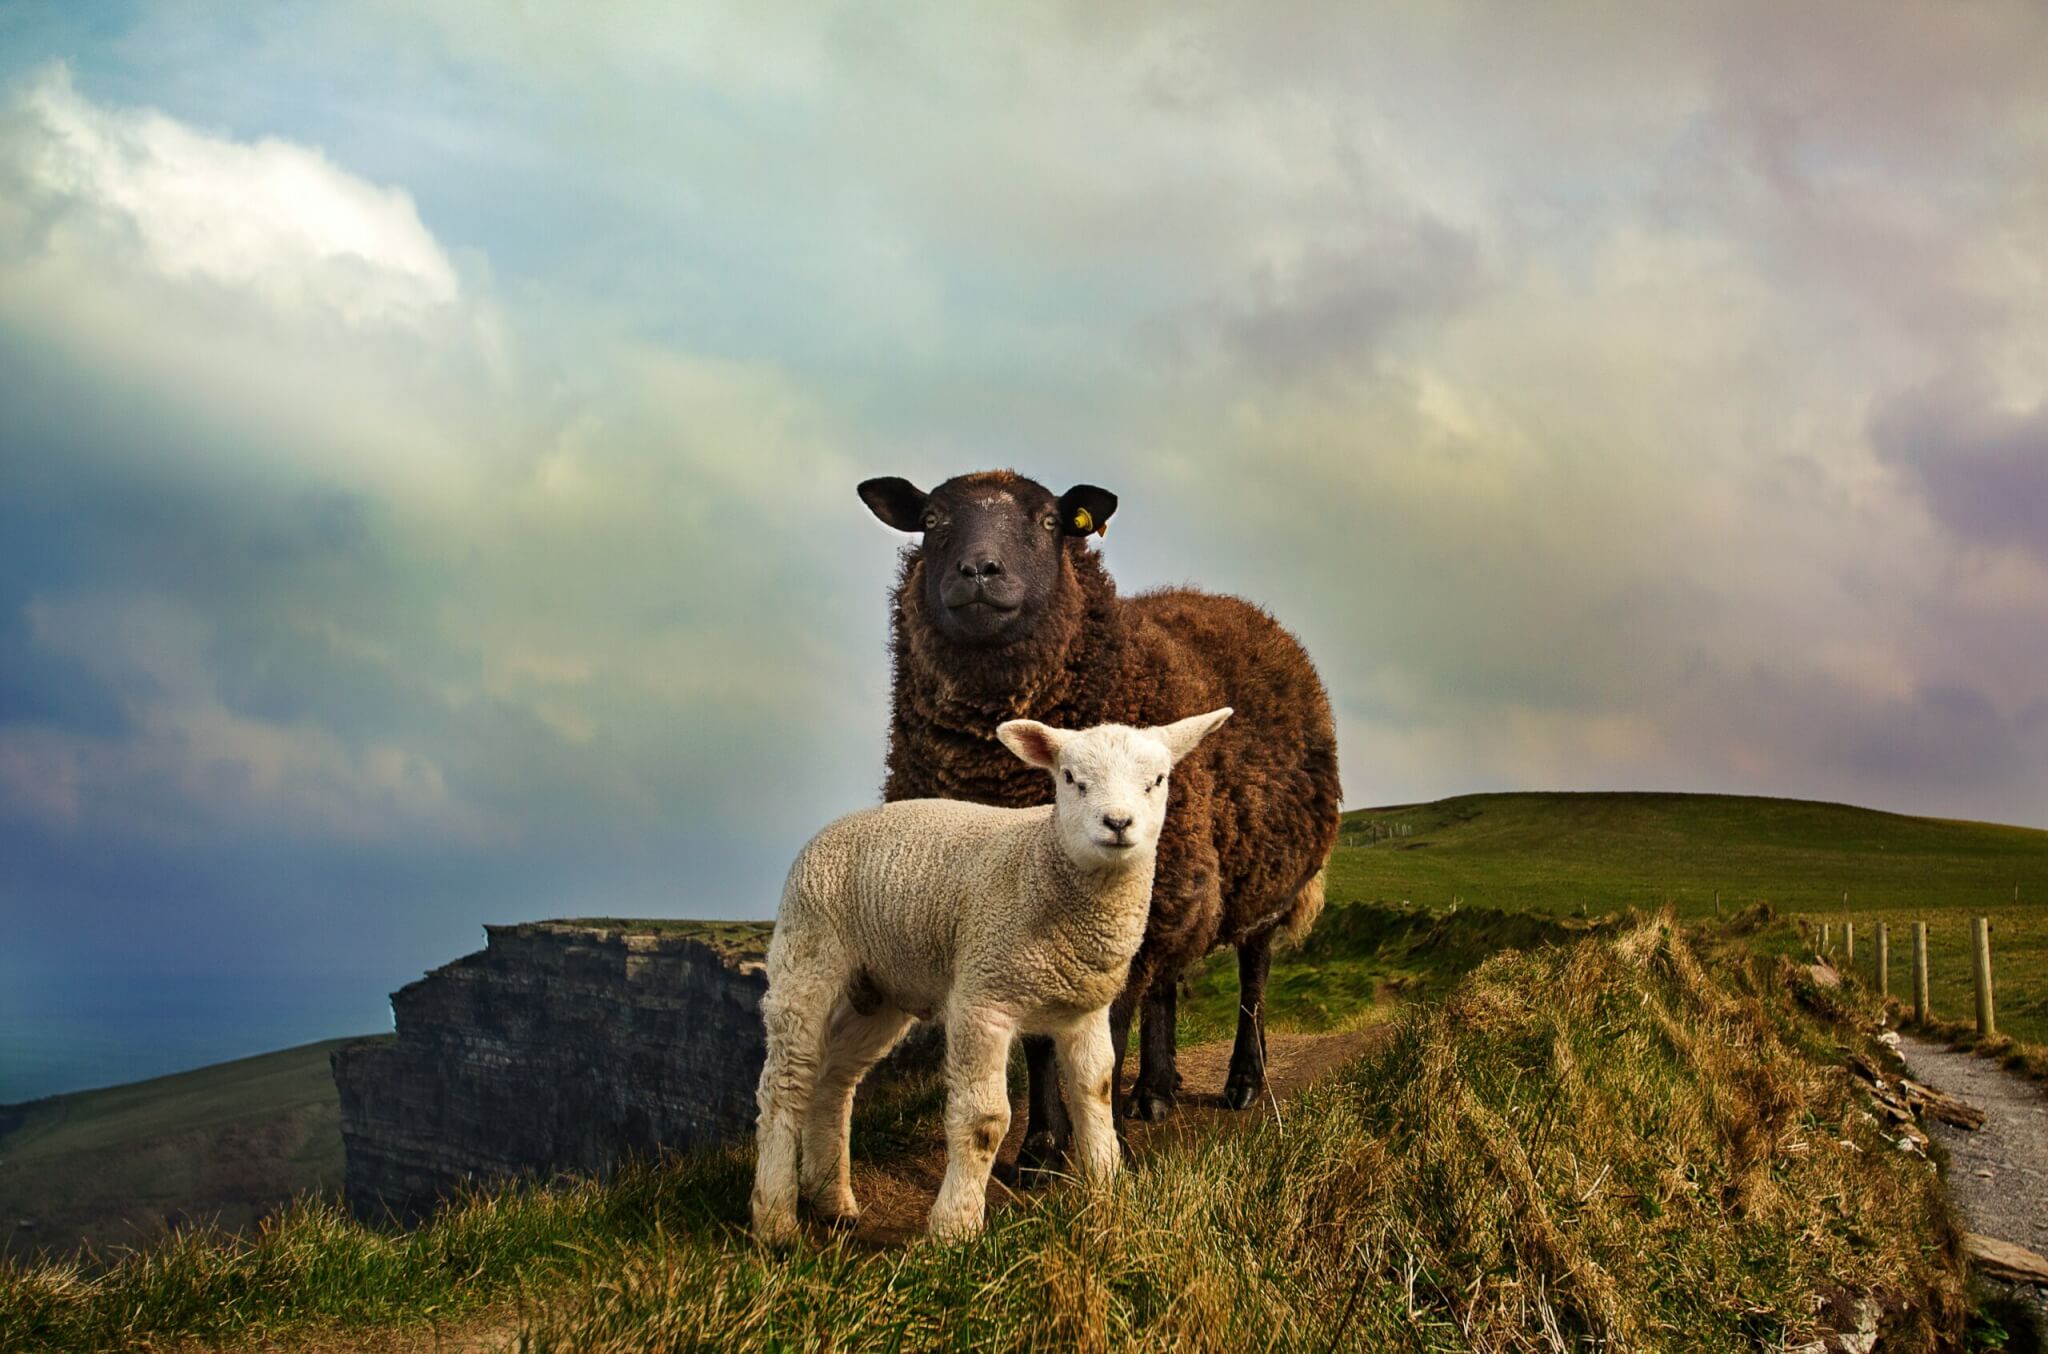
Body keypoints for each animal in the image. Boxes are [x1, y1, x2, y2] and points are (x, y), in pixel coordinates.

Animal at [753, 700, 1228, 1237]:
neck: (1041, 866)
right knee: (786, 1083)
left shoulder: (1084, 1009)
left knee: (834, 1078)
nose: (1118, 822)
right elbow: (984, 1120)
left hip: (880, 989)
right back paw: (775, 1220)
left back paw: (832, 1200)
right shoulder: (983, 997)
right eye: (1070, 778)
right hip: (808, 953)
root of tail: (832, 828)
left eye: (1158, 779)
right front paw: (955, 1227)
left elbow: (1097, 1093)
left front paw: (1109, 1194)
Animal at [851, 464, 1343, 1171]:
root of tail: (1237, 605)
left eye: (1049, 521)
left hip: (1262, 878)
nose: (979, 570)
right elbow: (1040, 1043)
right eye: (933, 520)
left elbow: (1099, 1033)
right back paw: (1155, 1092)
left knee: (1253, 975)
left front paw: (1090, 1152)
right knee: (1168, 981)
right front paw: (1039, 1150)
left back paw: (1243, 1083)